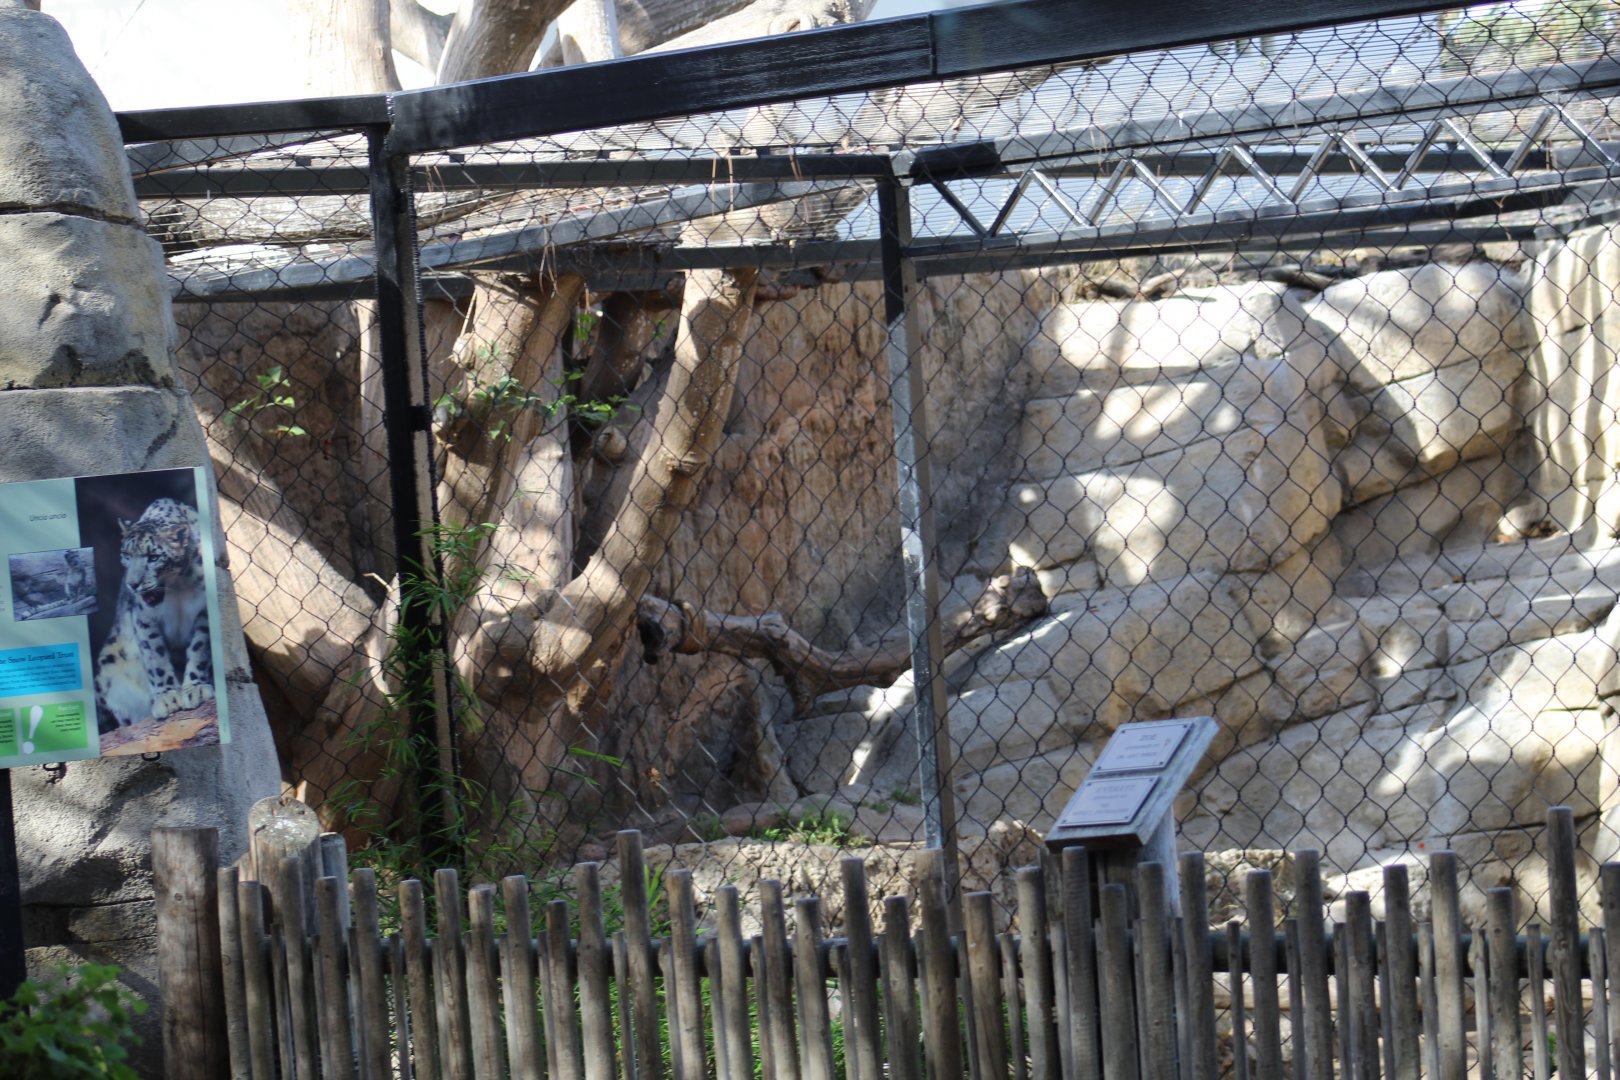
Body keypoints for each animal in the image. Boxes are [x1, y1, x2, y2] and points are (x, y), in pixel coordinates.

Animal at [94, 498, 214, 728]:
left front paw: (195, 688)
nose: (133, 584)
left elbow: (200, 649)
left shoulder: (203, 613)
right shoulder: (144, 619)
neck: (178, 586)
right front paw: (168, 697)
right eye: (126, 555)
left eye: (153, 557)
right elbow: (156, 657)